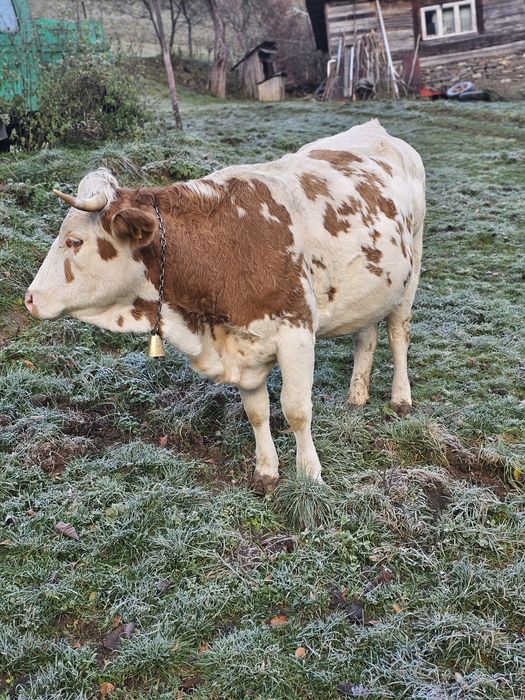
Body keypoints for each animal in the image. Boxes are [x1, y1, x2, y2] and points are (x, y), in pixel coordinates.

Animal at [25, 120, 425, 493]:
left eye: (74, 240)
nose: (30, 298)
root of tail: (377, 130)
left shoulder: (296, 332)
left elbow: (296, 410)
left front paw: (310, 475)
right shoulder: (242, 346)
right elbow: (257, 412)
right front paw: (266, 470)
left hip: (411, 272)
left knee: (397, 334)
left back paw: (401, 399)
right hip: (372, 289)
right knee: (365, 337)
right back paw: (357, 396)